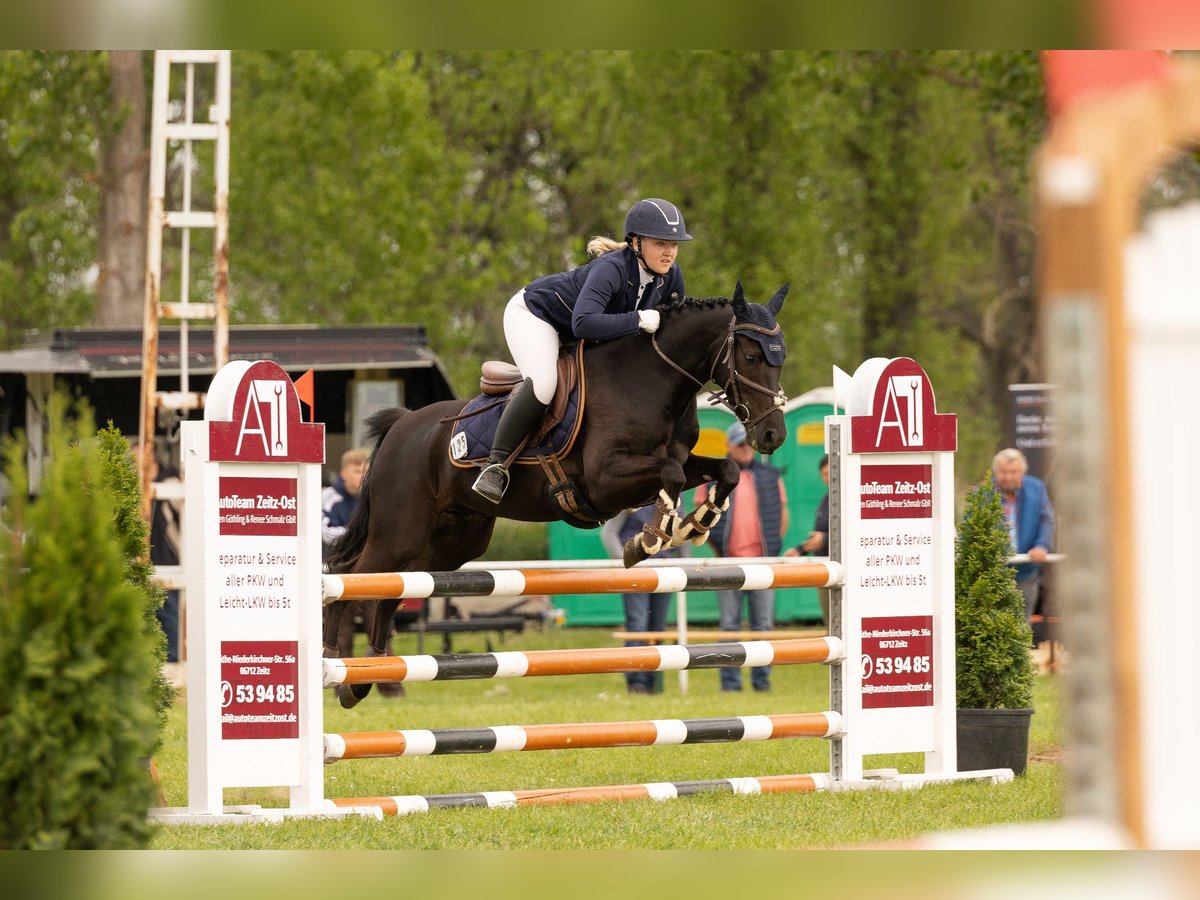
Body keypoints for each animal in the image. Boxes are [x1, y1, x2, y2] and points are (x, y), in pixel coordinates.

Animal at [324, 285, 792, 710]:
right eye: (751, 358)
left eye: (780, 358)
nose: (772, 436)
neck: (652, 380)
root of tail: (401, 425)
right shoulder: (605, 480)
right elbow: (671, 476)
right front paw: (648, 539)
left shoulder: (677, 460)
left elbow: (724, 470)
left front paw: (697, 522)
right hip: (399, 533)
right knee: (347, 575)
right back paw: (334, 663)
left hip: (447, 545)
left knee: (388, 590)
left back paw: (364, 678)